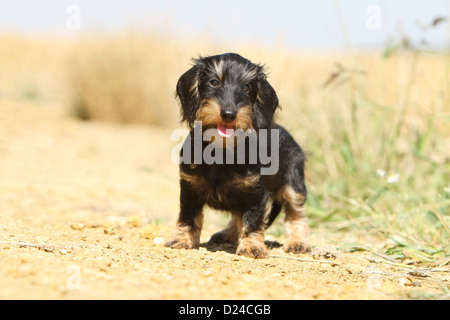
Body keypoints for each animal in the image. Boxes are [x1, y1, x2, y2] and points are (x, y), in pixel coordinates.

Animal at [167, 52, 312, 258]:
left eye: (246, 87)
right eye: (213, 82)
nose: (229, 114)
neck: (221, 150)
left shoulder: (255, 193)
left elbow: (252, 220)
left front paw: (252, 246)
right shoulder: (189, 188)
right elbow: (188, 217)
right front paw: (182, 239)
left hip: (294, 182)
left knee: (295, 212)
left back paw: (298, 241)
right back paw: (228, 233)